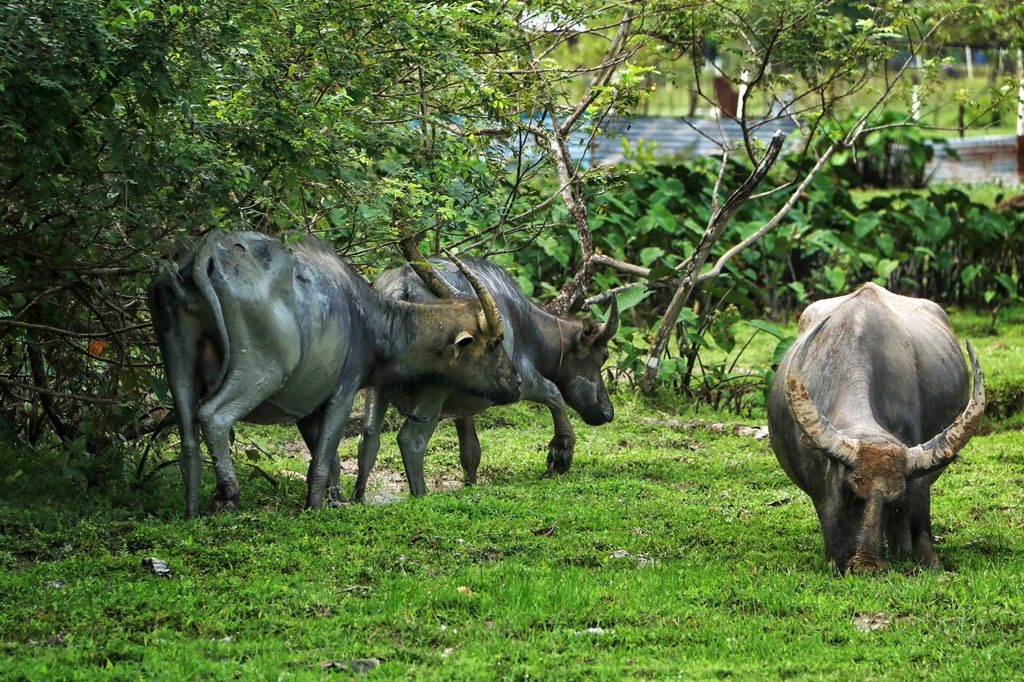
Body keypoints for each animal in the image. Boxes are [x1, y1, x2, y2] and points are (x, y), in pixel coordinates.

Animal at [149, 228, 520, 516]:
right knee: (213, 416)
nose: (515, 383)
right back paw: (227, 495)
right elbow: (324, 458)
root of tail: (207, 252)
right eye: (494, 343)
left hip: (178, 367)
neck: (371, 320)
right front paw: (314, 507)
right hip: (260, 371)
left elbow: (330, 459)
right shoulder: (344, 390)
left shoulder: (306, 409)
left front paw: (336, 499)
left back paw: (192, 511)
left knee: (188, 437)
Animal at [354, 251, 614, 497]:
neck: (526, 324)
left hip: (379, 386)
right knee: (411, 440)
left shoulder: (464, 404)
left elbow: (470, 450)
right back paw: (421, 495)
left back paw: (358, 498)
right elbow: (554, 393)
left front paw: (471, 485)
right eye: (603, 356)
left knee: (369, 437)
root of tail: (402, 289)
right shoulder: (524, 380)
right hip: (434, 389)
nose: (608, 412)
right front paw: (562, 450)